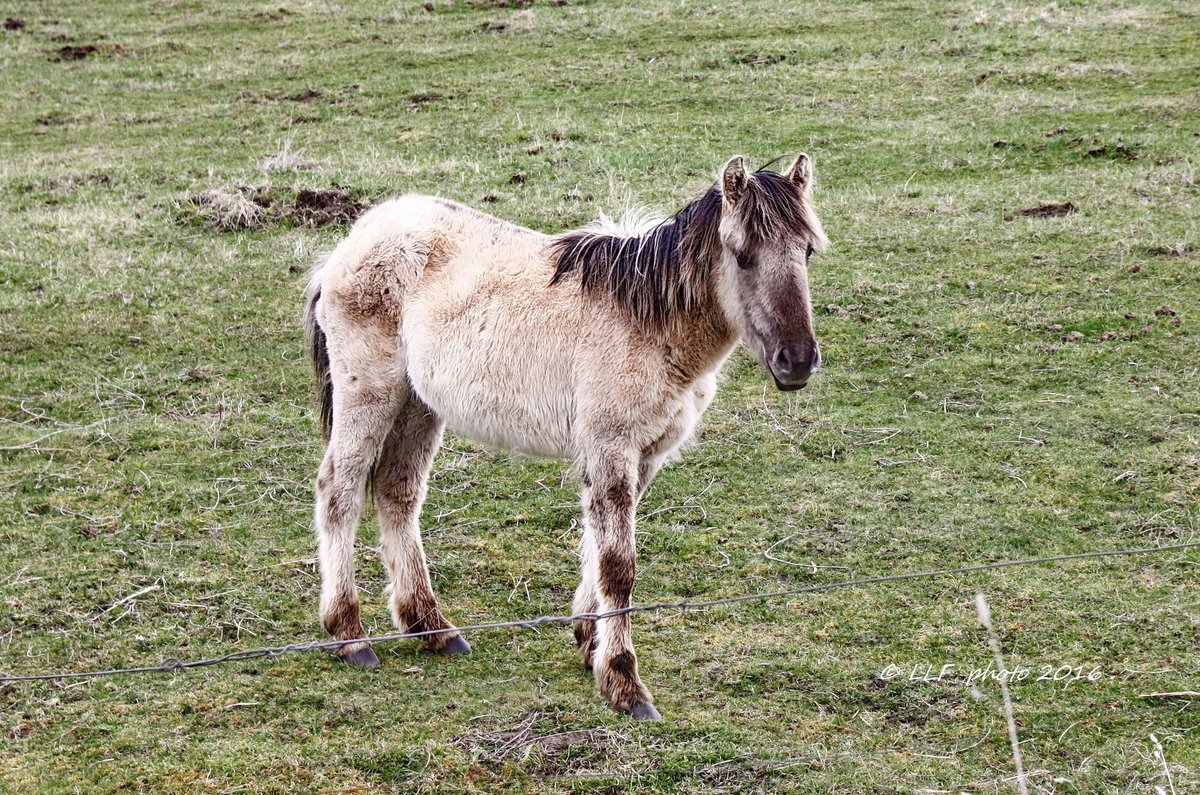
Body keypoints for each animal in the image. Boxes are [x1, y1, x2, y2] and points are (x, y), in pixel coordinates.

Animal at [302, 152, 825, 720]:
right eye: (743, 255)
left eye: (807, 251)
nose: (797, 362)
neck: (650, 322)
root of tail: (354, 240)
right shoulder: (610, 447)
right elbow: (618, 566)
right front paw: (623, 683)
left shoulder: (641, 456)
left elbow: (598, 549)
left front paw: (589, 642)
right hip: (371, 396)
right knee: (339, 490)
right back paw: (350, 635)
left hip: (420, 405)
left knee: (397, 492)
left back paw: (432, 628)